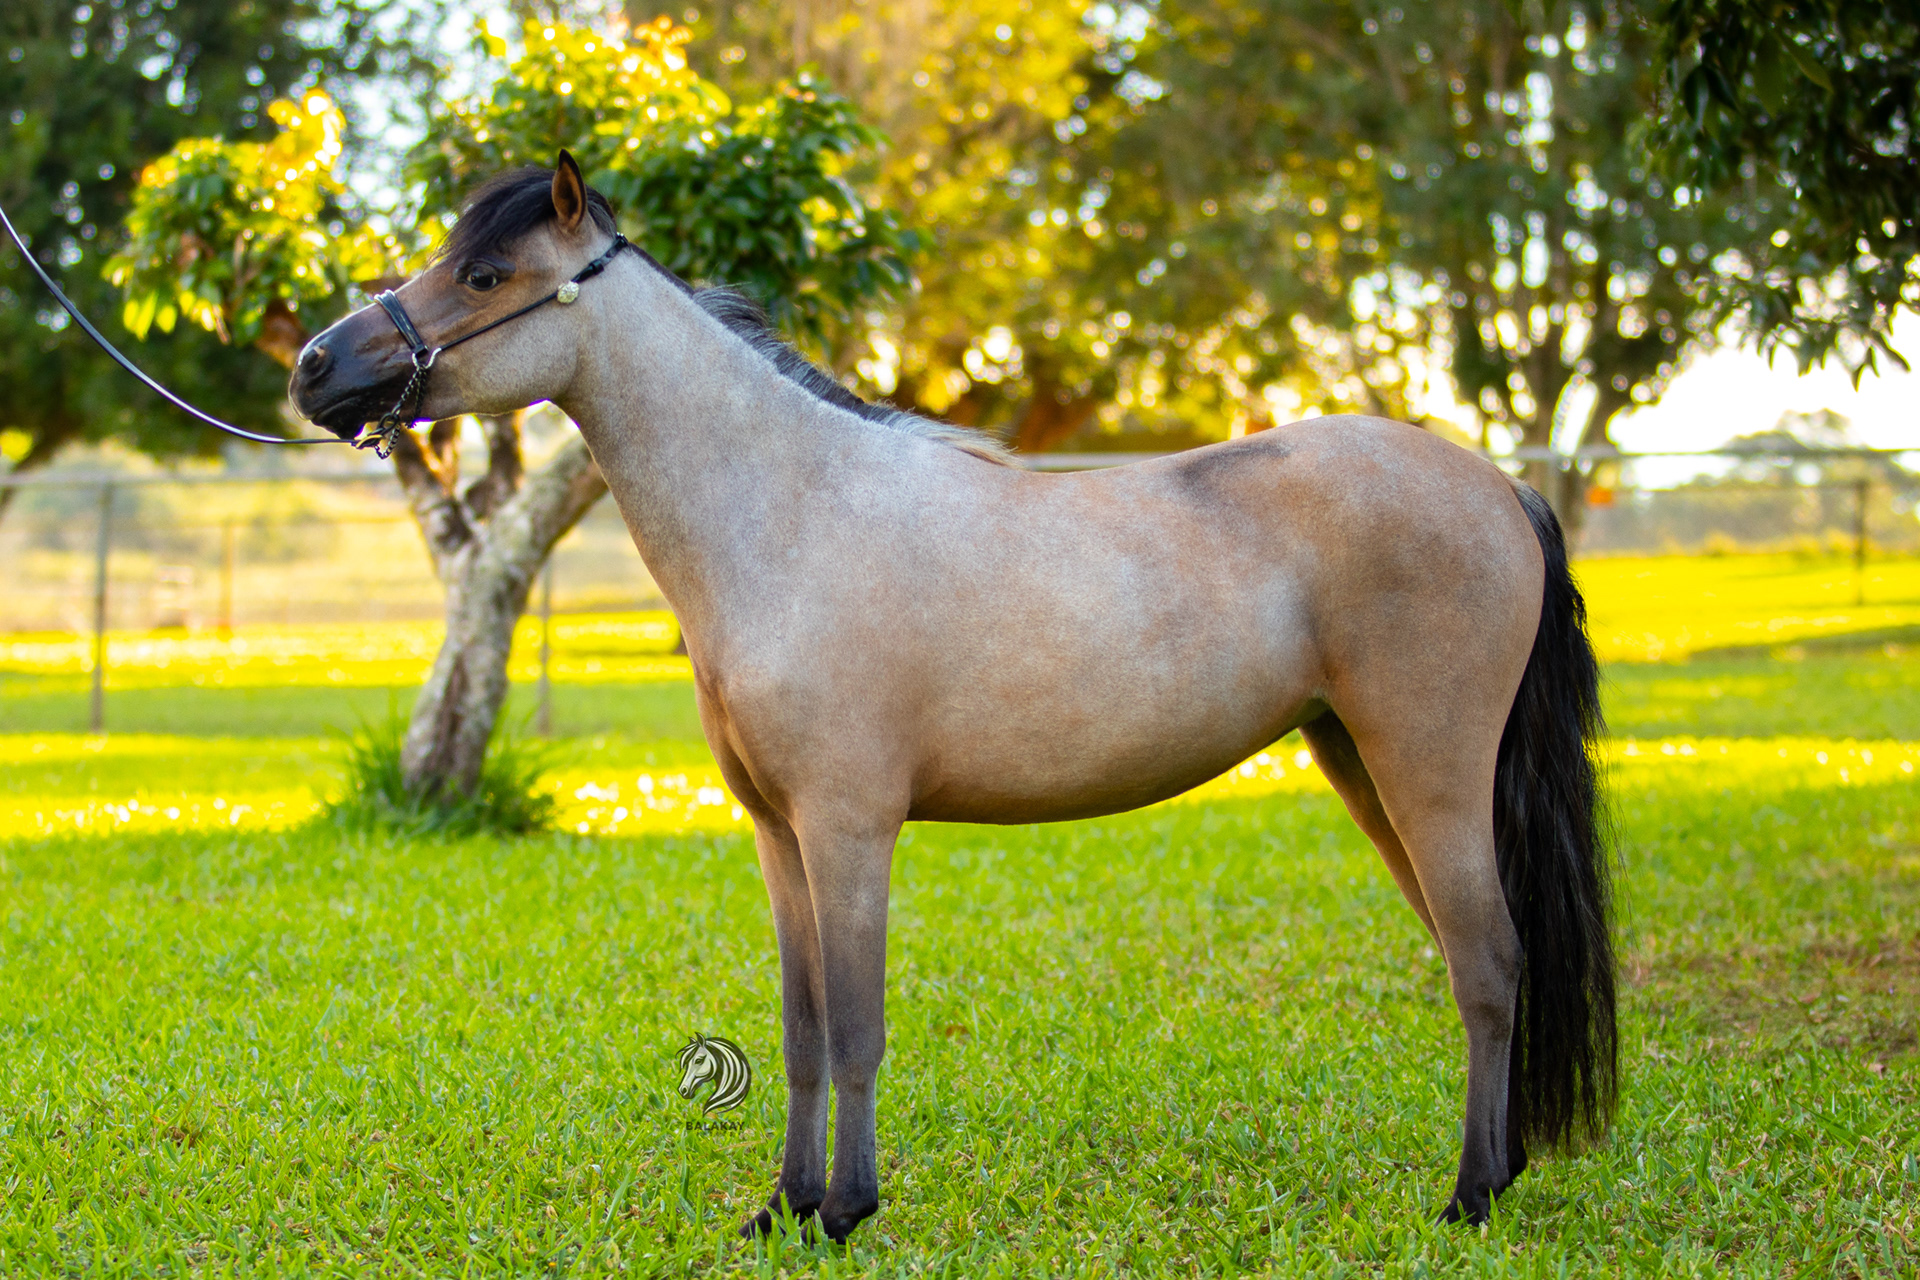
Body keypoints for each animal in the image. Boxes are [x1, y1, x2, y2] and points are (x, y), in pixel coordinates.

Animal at [290, 153, 1616, 1241]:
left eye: (483, 271)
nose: (315, 366)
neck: (790, 511)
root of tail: (1500, 487)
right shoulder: (778, 834)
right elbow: (803, 1026)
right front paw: (783, 1205)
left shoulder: (850, 826)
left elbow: (858, 1022)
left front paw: (846, 1208)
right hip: (1361, 762)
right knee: (1474, 955)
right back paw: (1493, 1176)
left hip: (1425, 766)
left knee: (1488, 958)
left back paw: (1467, 1198)